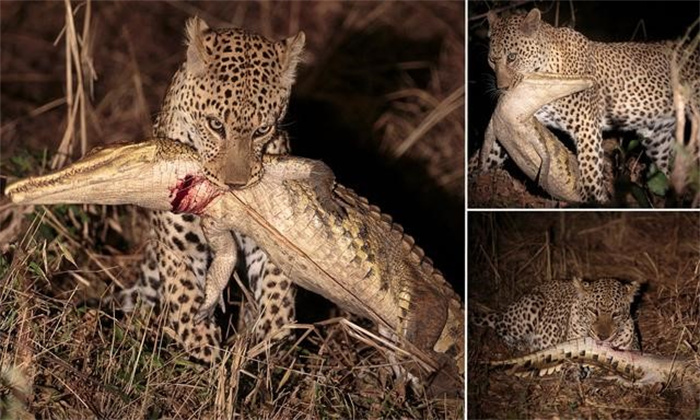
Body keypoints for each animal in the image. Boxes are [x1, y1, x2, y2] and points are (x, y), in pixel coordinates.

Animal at [116, 18, 304, 362]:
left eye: (262, 130)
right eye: (216, 125)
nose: (235, 185)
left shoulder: (268, 242)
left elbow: (278, 298)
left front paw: (265, 340)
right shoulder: (180, 249)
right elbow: (186, 302)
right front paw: (207, 355)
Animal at [470, 278, 640, 352]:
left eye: (616, 314)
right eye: (593, 311)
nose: (603, 337)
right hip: (534, 301)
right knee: (501, 330)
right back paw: (524, 345)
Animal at [482, 7, 700, 202]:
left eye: (512, 57)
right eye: (492, 60)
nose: (502, 88)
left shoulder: (586, 127)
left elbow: (591, 173)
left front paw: (595, 203)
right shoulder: (519, 121)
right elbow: (490, 152)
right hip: (657, 138)